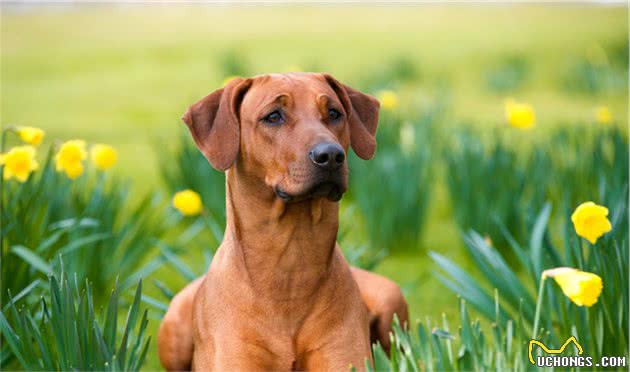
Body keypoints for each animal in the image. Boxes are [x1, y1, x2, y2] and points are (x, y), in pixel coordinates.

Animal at [158, 73, 410, 372]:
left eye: (334, 113)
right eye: (273, 116)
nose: (330, 155)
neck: (291, 265)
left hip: (389, 298)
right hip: (175, 322)